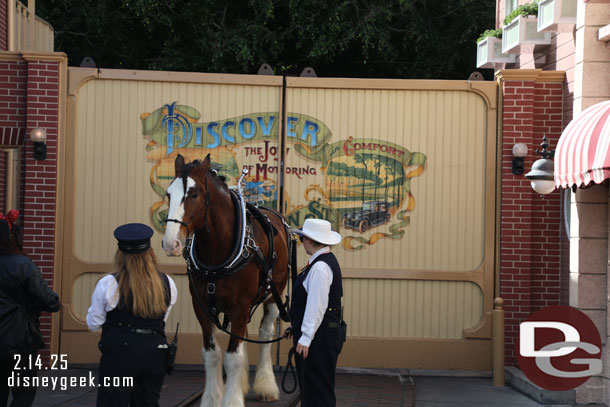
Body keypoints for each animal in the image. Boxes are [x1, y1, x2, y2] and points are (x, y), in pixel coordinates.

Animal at [162, 155, 290, 407]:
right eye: (168, 194)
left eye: (194, 194)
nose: (171, 243)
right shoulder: (202, 307)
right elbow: (212, 354)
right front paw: (213, 399)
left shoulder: (240, 306)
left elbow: (233, 357)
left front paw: (231, 400)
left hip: (274, 293)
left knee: (265, 332)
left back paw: (266, 385)